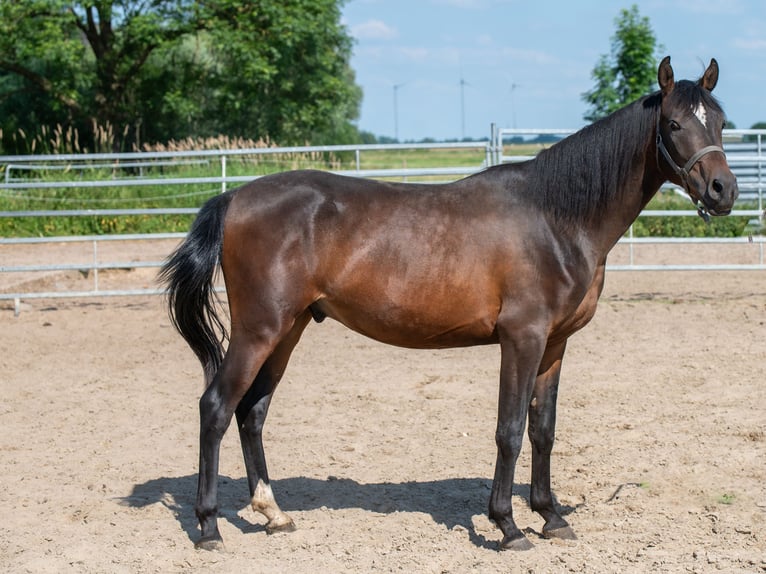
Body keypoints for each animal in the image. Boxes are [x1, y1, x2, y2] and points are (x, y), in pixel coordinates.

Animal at [159, 57, 740, 552]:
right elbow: (509, 430)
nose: (723, 190)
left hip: (289, 327)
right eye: (673, 124)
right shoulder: (522, 338)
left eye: (721, 122)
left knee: (252, 412)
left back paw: (273, 513)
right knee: (217, 407)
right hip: (260, 328)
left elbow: (543, 430)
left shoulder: (554, 344)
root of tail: (235, 197)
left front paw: (551, 516)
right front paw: (507, 525)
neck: (555, 218)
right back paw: (209, 527)